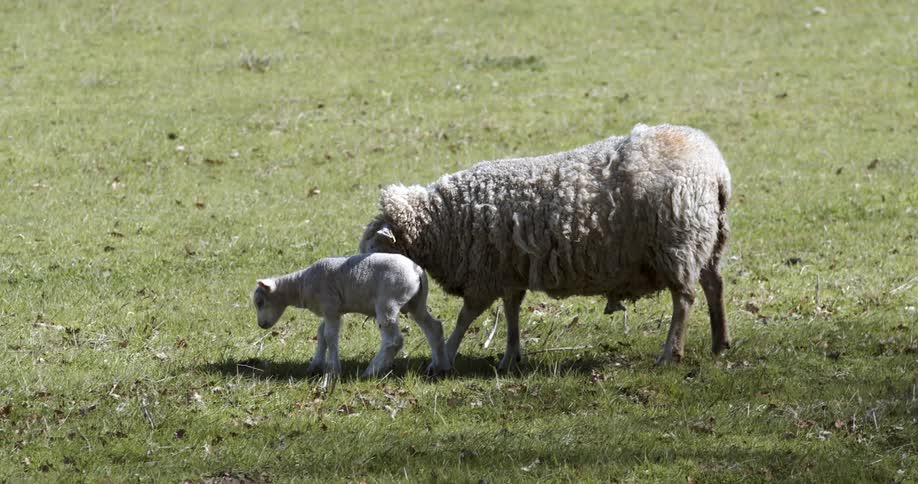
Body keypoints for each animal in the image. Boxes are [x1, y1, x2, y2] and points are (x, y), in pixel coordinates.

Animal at [253, 253, 451, 380]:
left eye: (260, 302)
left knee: (394, 340)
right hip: (416, 302)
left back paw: (371, 371)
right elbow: (321, 334)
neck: (301, 285)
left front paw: (333, 370)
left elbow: (329, 336)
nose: (261, 325)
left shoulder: (330, 306)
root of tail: (416, 271)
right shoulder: (331, 310)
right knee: (434, 328)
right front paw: (315, 365)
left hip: (388, 301)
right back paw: (440, 366)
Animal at [359, 123, 731, 368]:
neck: (443, 220)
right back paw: (720, 343)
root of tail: (716, 169)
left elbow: (467, 316)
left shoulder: (484, 275)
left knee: (684, 299)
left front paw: (445, 356)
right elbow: (511, 312)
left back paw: (671, 353)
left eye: (374, 248)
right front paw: (510, 356)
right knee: (714, 285)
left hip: (678, 244)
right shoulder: (509, 272)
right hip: (708, 241)